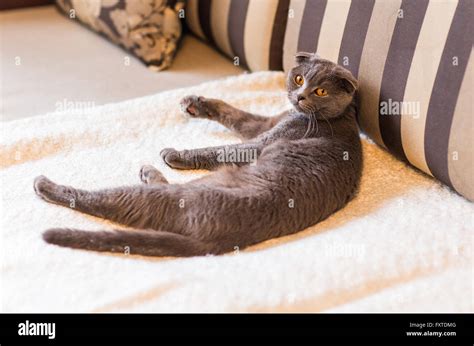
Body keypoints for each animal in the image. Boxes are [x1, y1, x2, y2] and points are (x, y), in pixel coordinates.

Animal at [33, 52, 362, 255]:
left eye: (321, 91)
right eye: (298, 79)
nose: (300, 96)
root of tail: (213, 244)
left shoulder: (264, 141)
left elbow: (220, 150)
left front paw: (177, 153)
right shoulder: (263, 124)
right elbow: (233, 113)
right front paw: (196, 103)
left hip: (173, 197)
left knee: (105, 200)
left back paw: (46, 185)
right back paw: (148, 172)